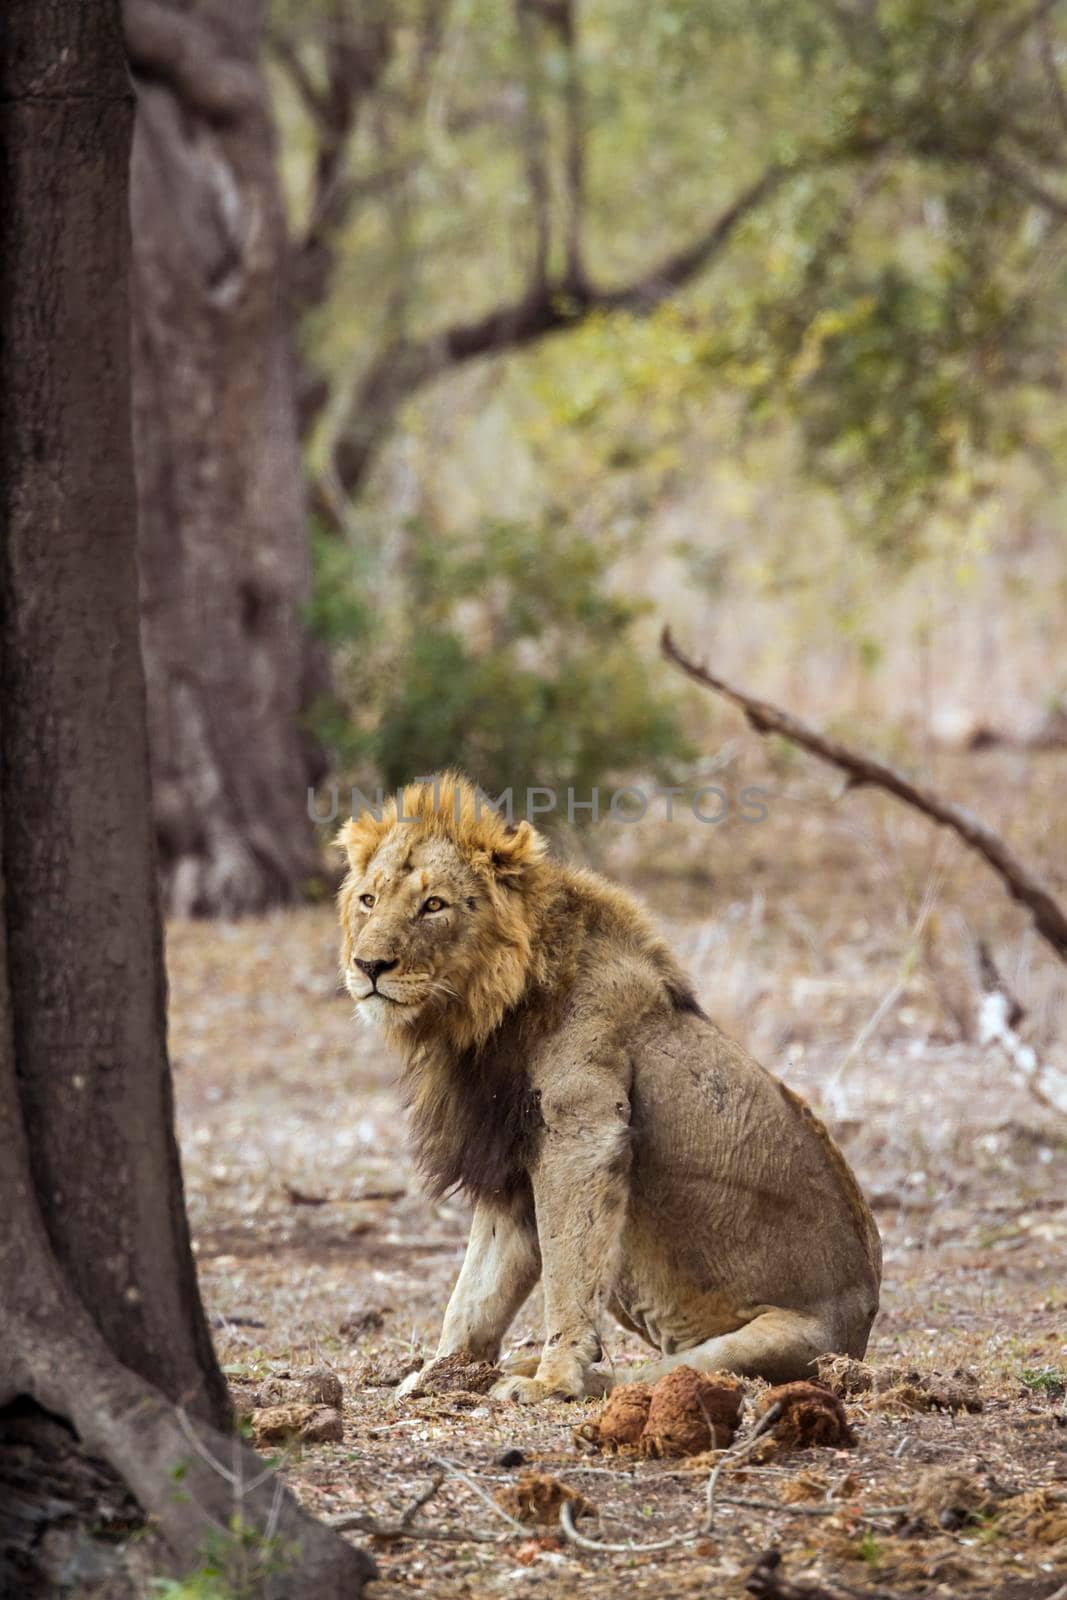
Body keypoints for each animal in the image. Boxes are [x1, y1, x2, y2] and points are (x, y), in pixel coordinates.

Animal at [337, 774, 883, 1401]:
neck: (484, 1016)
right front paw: (439, 1374)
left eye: (433, 906)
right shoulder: (510, 1166)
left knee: (666, 1370)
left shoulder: (582, 1135)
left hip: (772, 1342)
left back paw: (564, 1378)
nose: (368, 966)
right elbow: (475, 1291)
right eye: (369, 900)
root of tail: (862, 1329)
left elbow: (567, 1272)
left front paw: (553, 1381)